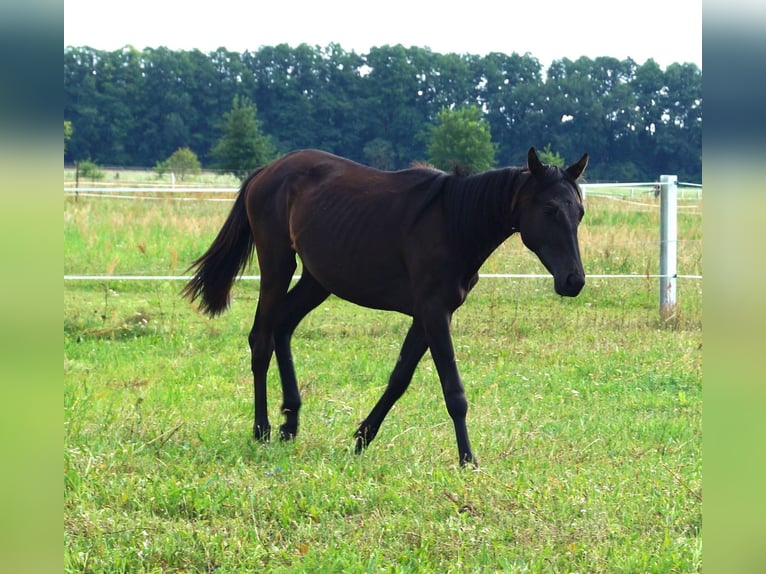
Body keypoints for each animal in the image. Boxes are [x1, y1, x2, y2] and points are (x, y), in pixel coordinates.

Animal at [184, 148, 588, 468]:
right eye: (550, 209)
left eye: (580, 212)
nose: (574, 281)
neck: (454, 222)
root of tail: (267, 171)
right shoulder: (434, 313)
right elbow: (453, 391)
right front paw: (467, 459)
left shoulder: (428, 316)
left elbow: (399, 379)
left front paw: (362, 436)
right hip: (277, 265)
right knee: (261, 339)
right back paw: (262, 428)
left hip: (317, 280)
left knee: (282, 327)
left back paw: (290, 423)